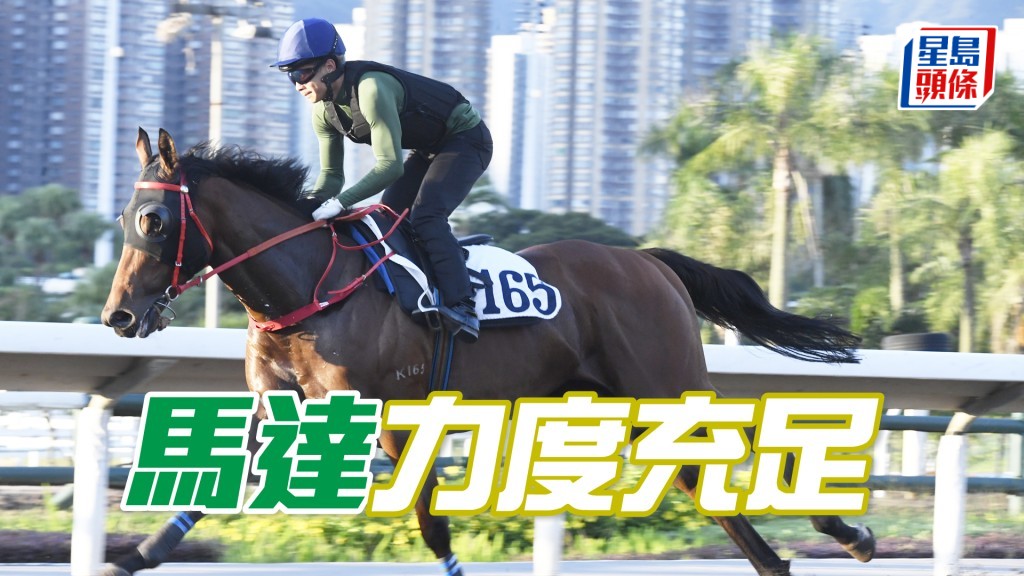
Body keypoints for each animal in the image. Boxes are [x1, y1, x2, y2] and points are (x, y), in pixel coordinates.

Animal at [99, 128, 874, 576]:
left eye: (154, 220)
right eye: (124, 216)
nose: (119, 315)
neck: (309, 289)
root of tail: (648, 262)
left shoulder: (371, 410)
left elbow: (428, 521)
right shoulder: (286, 403)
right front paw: (140, 553)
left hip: (661, 381)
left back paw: (844, 530)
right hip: (616, 398)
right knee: (704, 484)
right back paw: (795, 552)